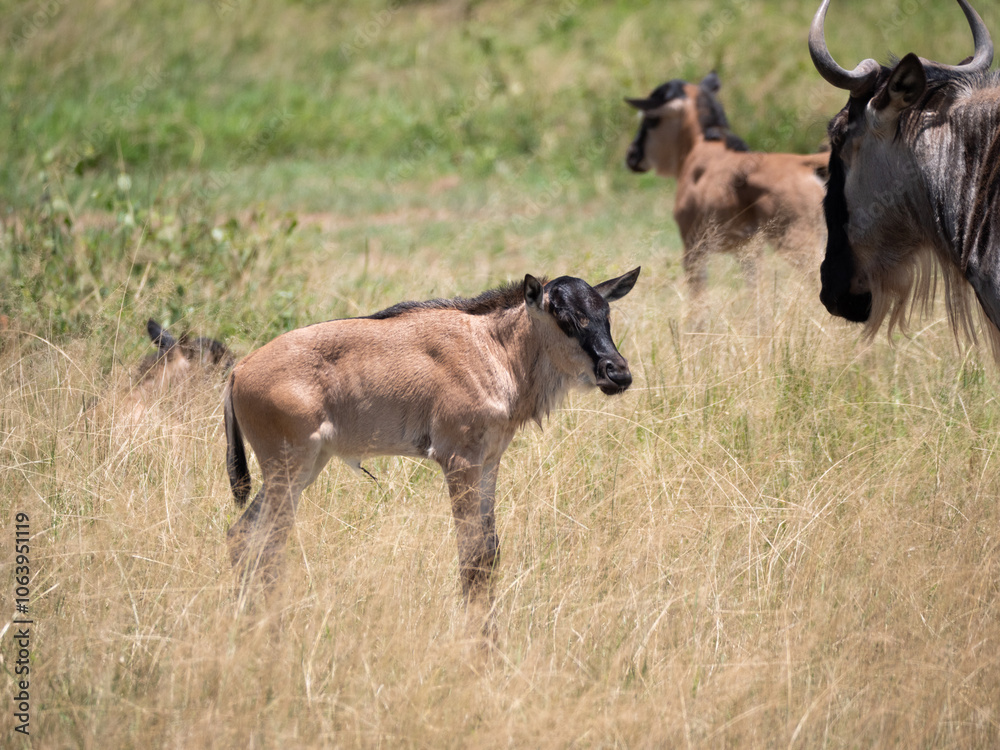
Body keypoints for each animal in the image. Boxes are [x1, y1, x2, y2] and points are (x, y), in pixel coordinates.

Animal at [223, 269, 640, 630]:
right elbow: (471, 556)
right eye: (564, 318)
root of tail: (239, 371)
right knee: (266, 543)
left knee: (244, 535)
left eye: (604, 315)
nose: (617, 372)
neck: (494, 348)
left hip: (302, 471)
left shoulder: (489, 462)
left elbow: (489, 554)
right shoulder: (458, 462)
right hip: (289, 470)